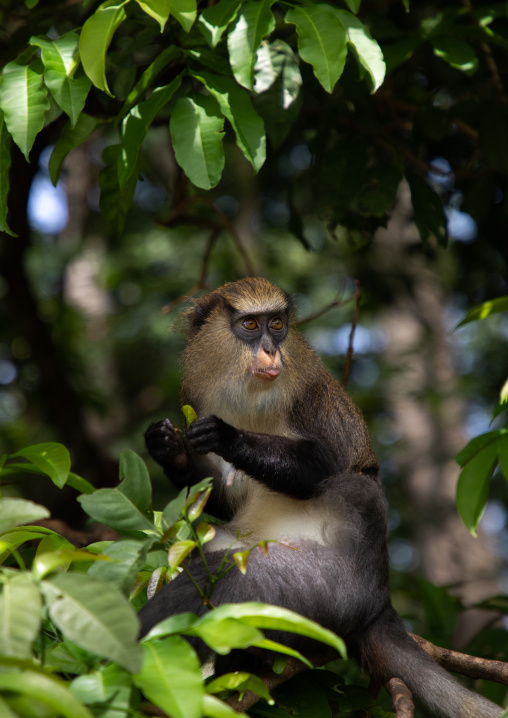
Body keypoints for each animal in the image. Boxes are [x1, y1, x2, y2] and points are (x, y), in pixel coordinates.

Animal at [139, 277, 503, 718]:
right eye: (250, 325)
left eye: (277, 324)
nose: (271, 349)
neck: (250, 396)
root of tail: (380, 600)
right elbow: (221, 499)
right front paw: (168, 447)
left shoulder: (307, 398)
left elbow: (320, 465)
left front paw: (228, 436)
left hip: (327, 589)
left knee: (242, 572)